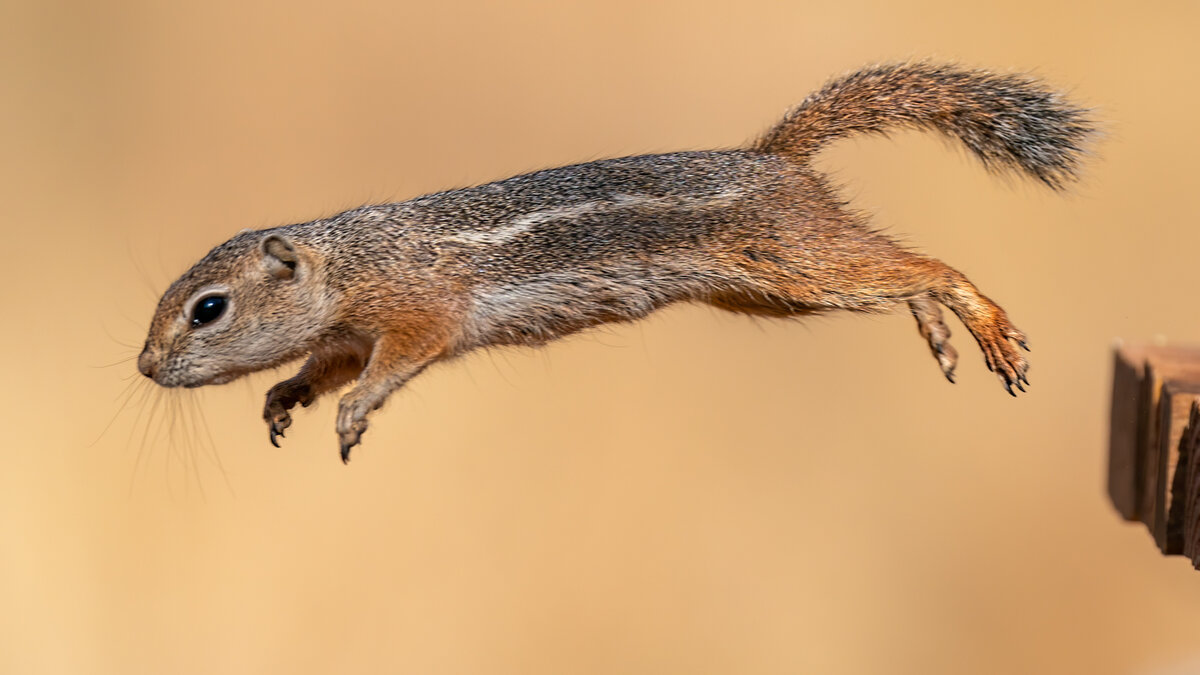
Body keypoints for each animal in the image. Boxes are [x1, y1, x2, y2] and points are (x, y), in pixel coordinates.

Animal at [137, 62, 1096, 463]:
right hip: (781, 289)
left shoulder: (418, 309)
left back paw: (987, 327)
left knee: (932, 264)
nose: (146, 365)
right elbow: (325, 364)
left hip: (796, 261)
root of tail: (774, 158)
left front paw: (352, 411)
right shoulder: (347, 331)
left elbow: (393, 363)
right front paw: (285, 396)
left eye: (208, 308)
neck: (348, 260)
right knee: (900, 272)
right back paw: (938, 330)